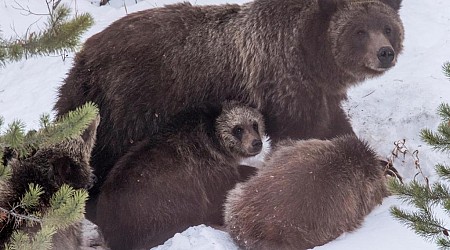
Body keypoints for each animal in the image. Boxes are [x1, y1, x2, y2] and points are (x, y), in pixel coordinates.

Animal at [54, 0, 406, 219]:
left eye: (387, 27)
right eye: (359, 31)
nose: (384, 53)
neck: (311, 57)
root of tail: (83, 56)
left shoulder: (318, 93)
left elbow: (335, 128)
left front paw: (386, 166)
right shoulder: (285, 84)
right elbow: (301, 135)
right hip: (131, 103)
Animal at [96, 101, 264, 250]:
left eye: (254, 124)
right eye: (238, 129)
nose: (256, 143)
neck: (216, 144)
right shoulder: (207, 170)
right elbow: (220, 196)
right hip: (158, 201)